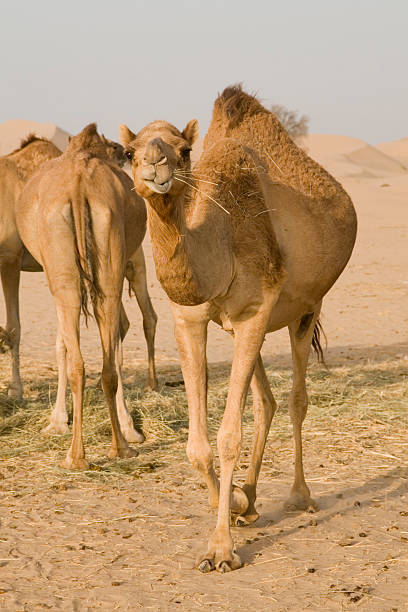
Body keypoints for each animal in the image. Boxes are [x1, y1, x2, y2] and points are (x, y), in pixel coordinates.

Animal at [15, 123, 157, 468]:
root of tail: (79, 185)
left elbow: (61, 343)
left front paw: (56, 422)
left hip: (67, 269)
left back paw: (78, 455)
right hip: (104, 260)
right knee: (104, 359)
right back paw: (114, 448)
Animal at [119, 83, 356, 572]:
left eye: (184, 149)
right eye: (127, 152)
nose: (155, 167)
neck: (220, 240)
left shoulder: (255, 309)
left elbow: (229, 436)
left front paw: (221, 549)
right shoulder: (190, 318)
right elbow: (197, 444)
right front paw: (231, 506)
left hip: (305, 309)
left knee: (296, 399)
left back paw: (298, 496)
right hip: (254, 325)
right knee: (266, 401)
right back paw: (248, 495)